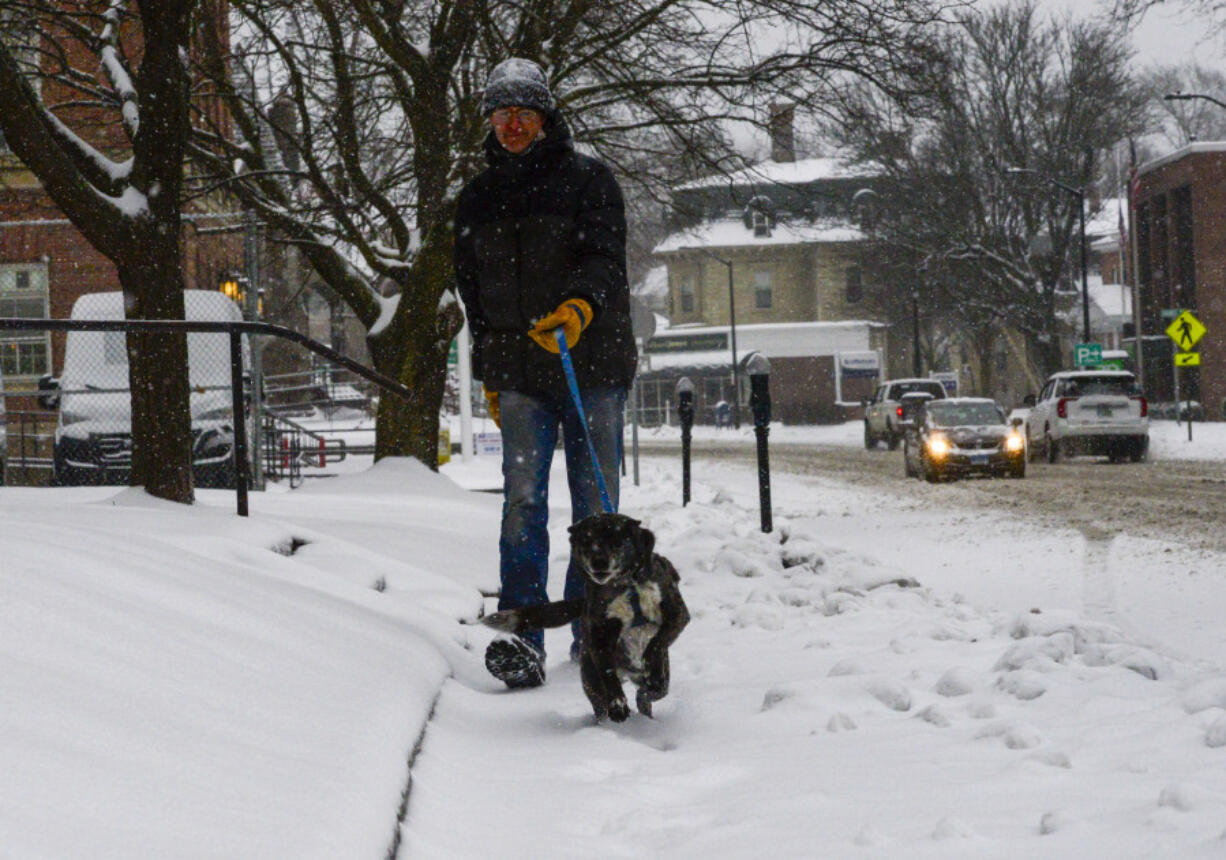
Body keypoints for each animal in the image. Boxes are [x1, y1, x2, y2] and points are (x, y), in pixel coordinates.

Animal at [480, 512, 691, 721]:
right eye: (586, 541)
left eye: (616, 541)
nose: (599, 561)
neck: (624, 584)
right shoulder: (601, 635)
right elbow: (608, 673)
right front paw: (618, 704)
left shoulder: (677, 615)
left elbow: (656, 644)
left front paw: (649, 664)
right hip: (592, 680)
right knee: (604, 701)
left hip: (659, 677)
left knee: (650, 693)